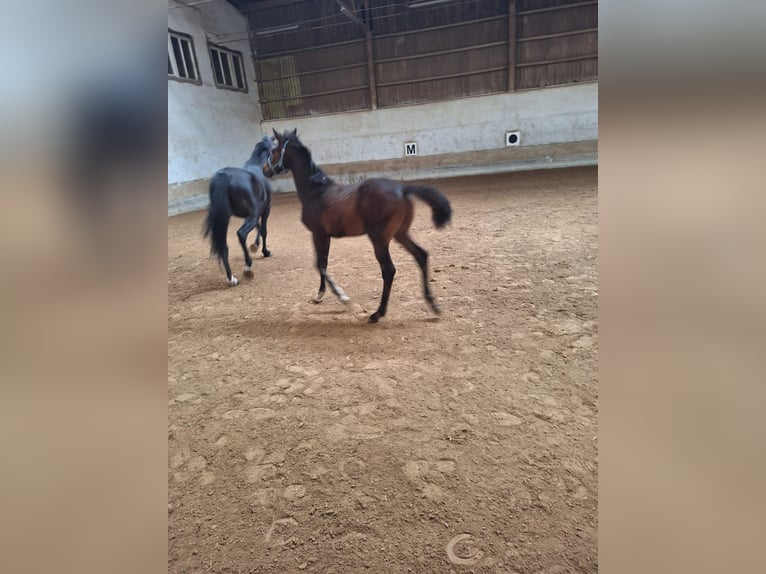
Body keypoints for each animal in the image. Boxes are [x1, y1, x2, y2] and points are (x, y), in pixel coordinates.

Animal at [266, 129, 452, 324]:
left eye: (274, 151)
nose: (265, 170)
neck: (315, 192)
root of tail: (402, 189)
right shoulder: (325, 236)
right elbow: (323, 262)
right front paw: (320, 295)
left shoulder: (318, 234)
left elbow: (319, 264)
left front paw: (342, 297)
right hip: (400, 234)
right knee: (421, 256)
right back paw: (433, 304)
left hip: (379, 239)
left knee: (389, 270)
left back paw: (378, 313)